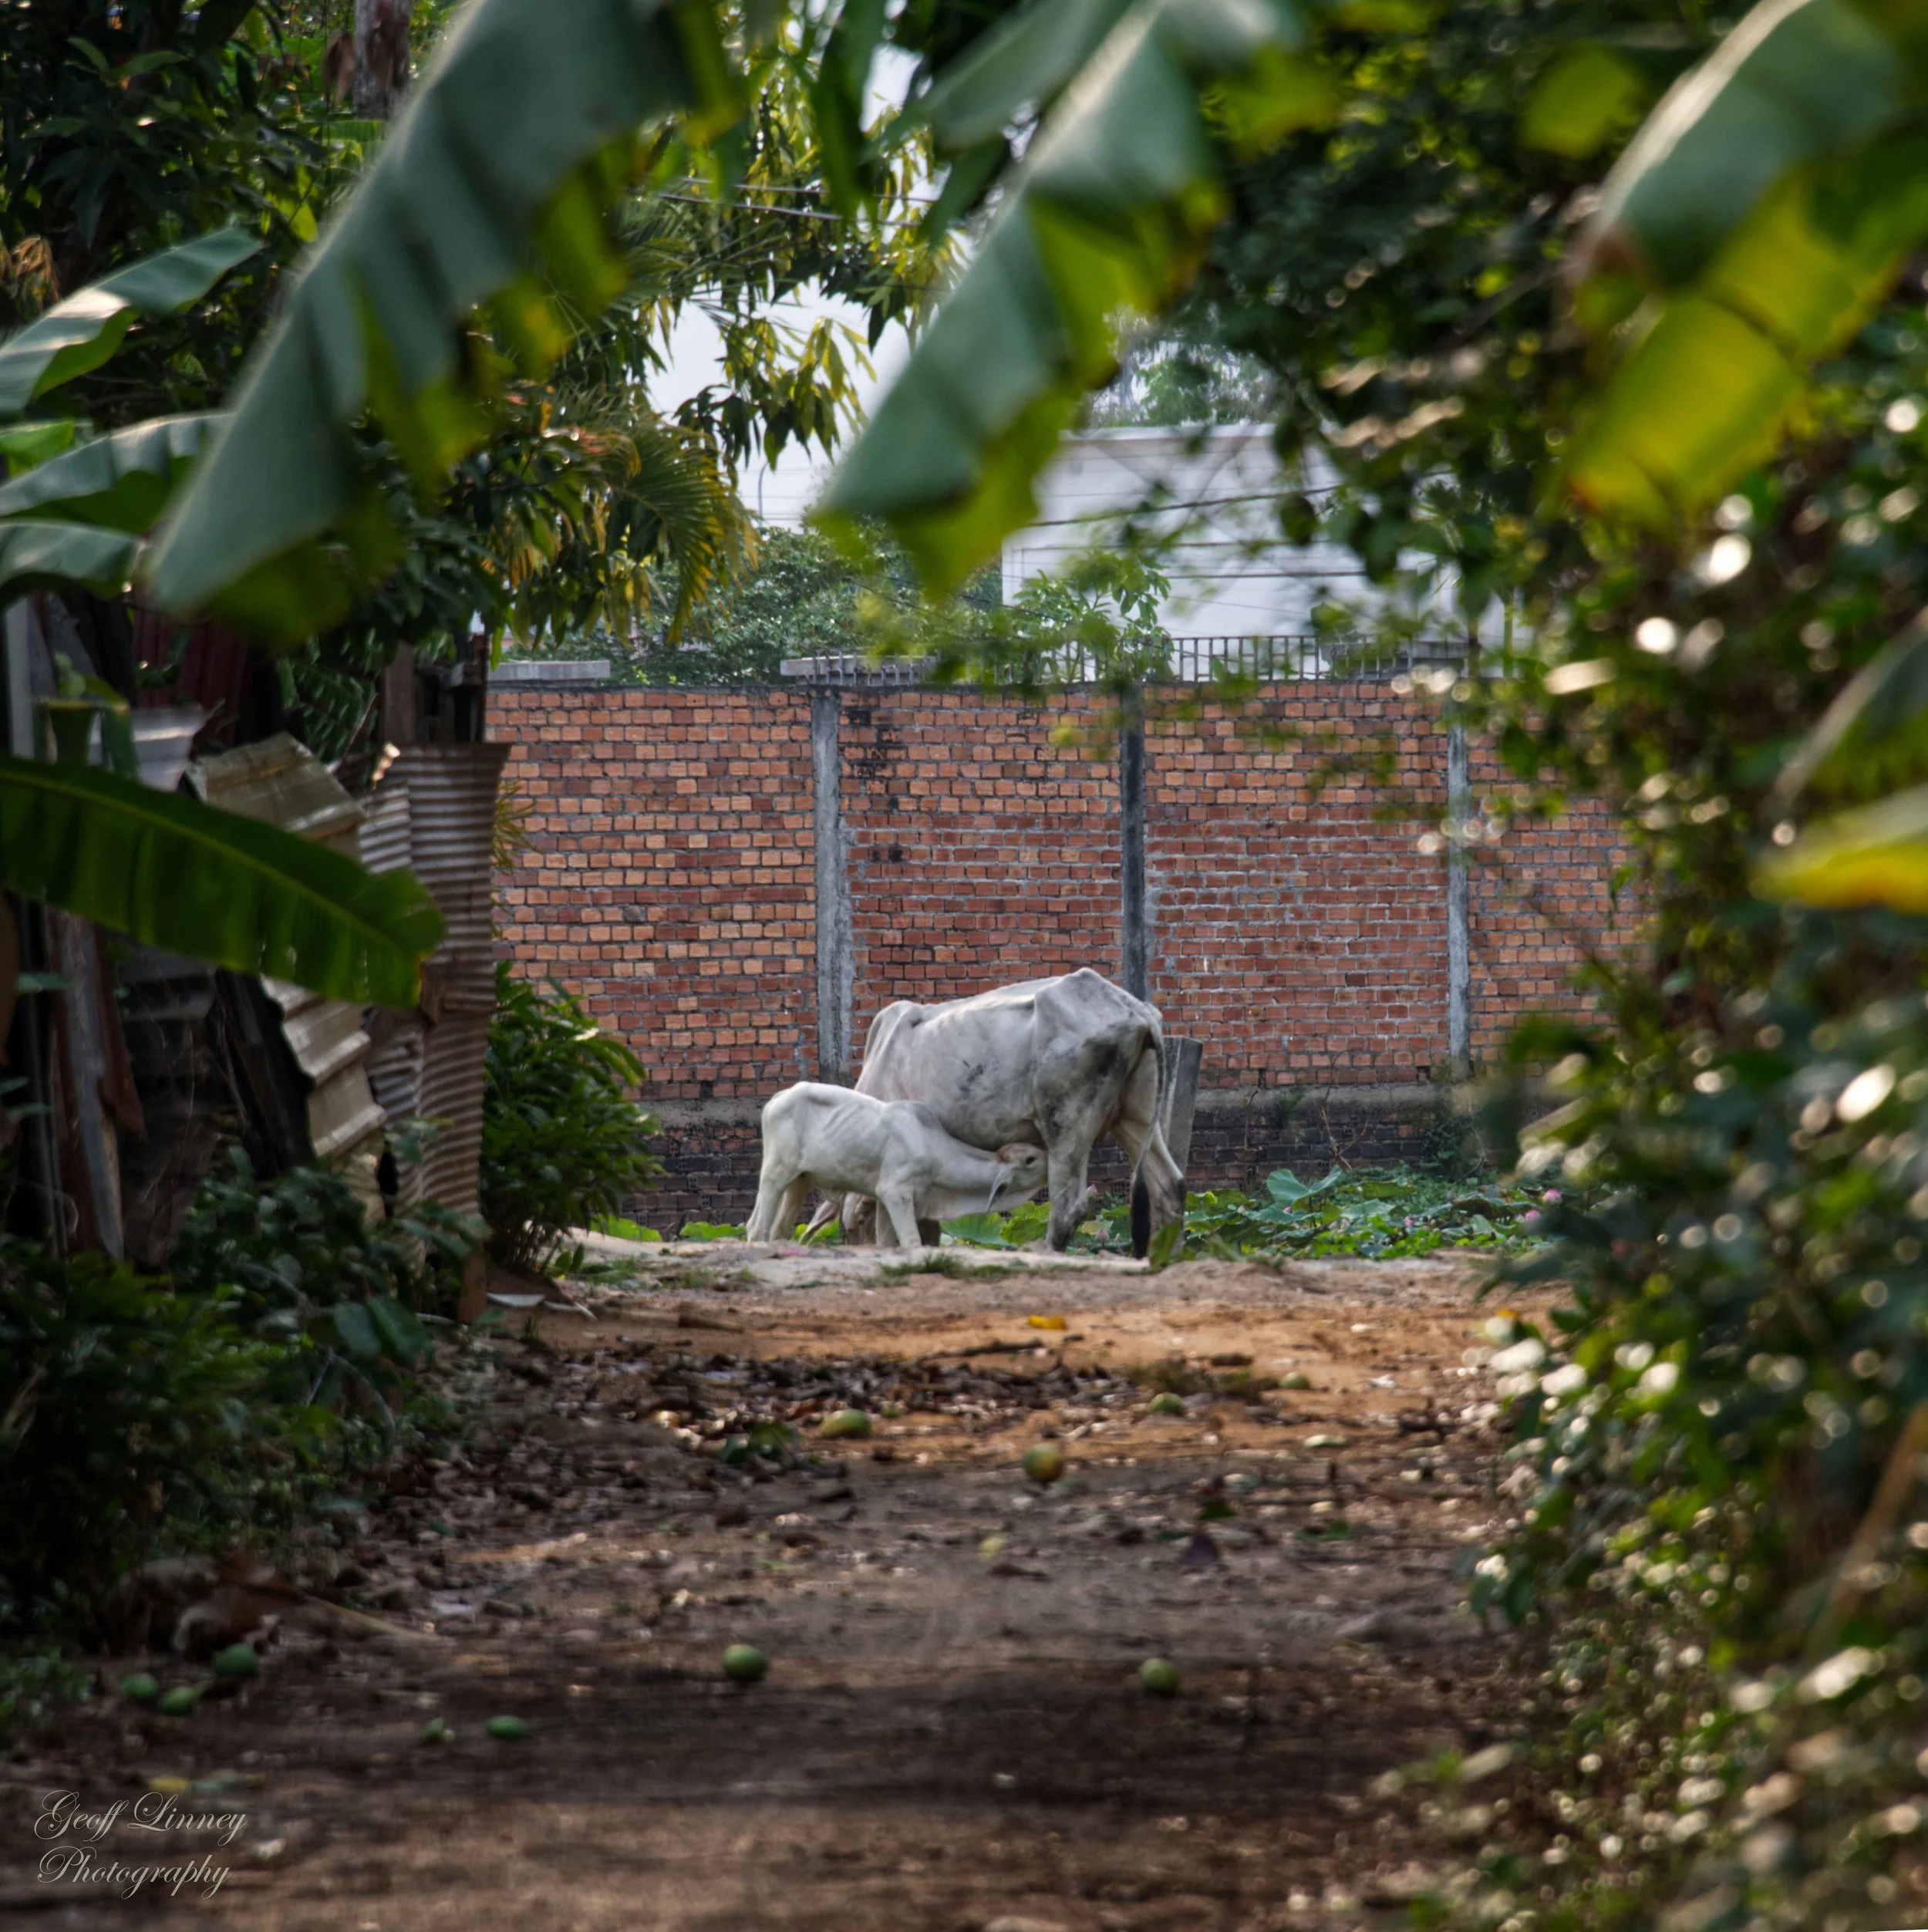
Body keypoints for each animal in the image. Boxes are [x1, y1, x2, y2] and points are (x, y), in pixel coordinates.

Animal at [744, 1081, 1047, 1249]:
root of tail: (777, 1098)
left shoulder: (884, 1200)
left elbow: (887, 1242)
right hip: (776, 1174)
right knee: (757, 1227)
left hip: (800, 1181)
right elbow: (912, 1241)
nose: (1050, 1157)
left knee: (777, 1228)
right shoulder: (895, 1192)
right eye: (1030, 1159)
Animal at [816, 969, 1187, 1258]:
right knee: (1170, 1186)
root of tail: (1134, 1009)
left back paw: (1044, 1252)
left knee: (1069, 1205)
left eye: (853, 1227)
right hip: (1135, 1115)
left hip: (1066, 1120)